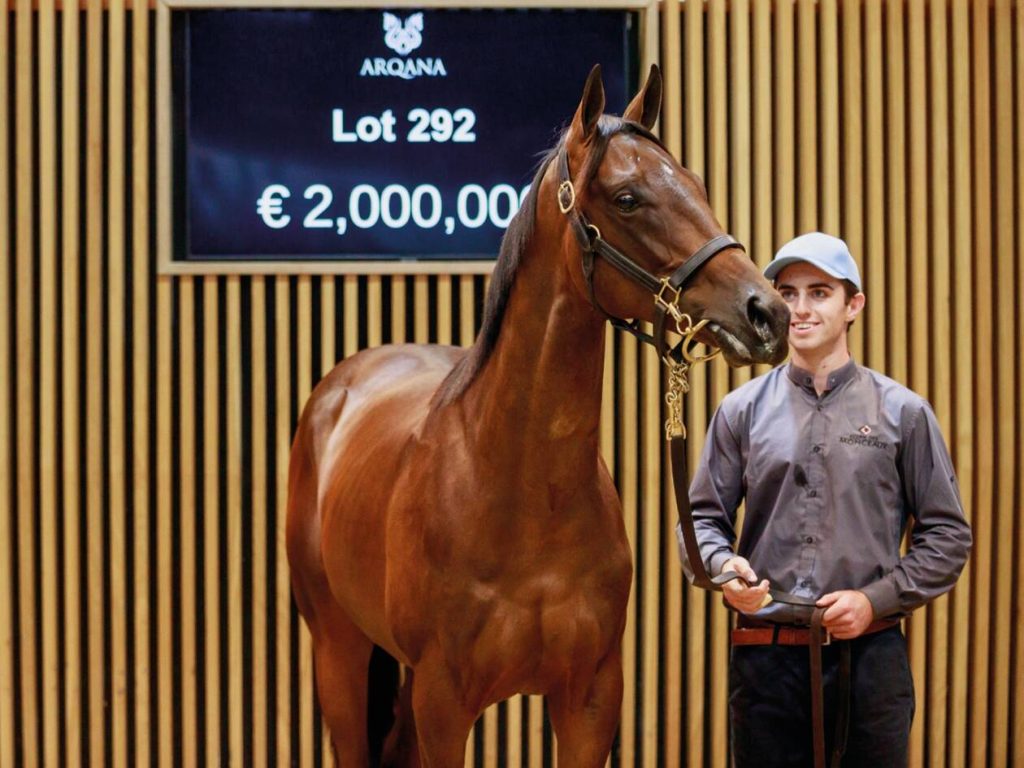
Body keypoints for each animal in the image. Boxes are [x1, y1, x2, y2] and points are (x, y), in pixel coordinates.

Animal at [286, 64, 790, 767]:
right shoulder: (444, 704)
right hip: (340, 652)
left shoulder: (591, 698)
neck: (523, 493)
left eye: (696, 184)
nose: (767, 312)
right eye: (627, 198)